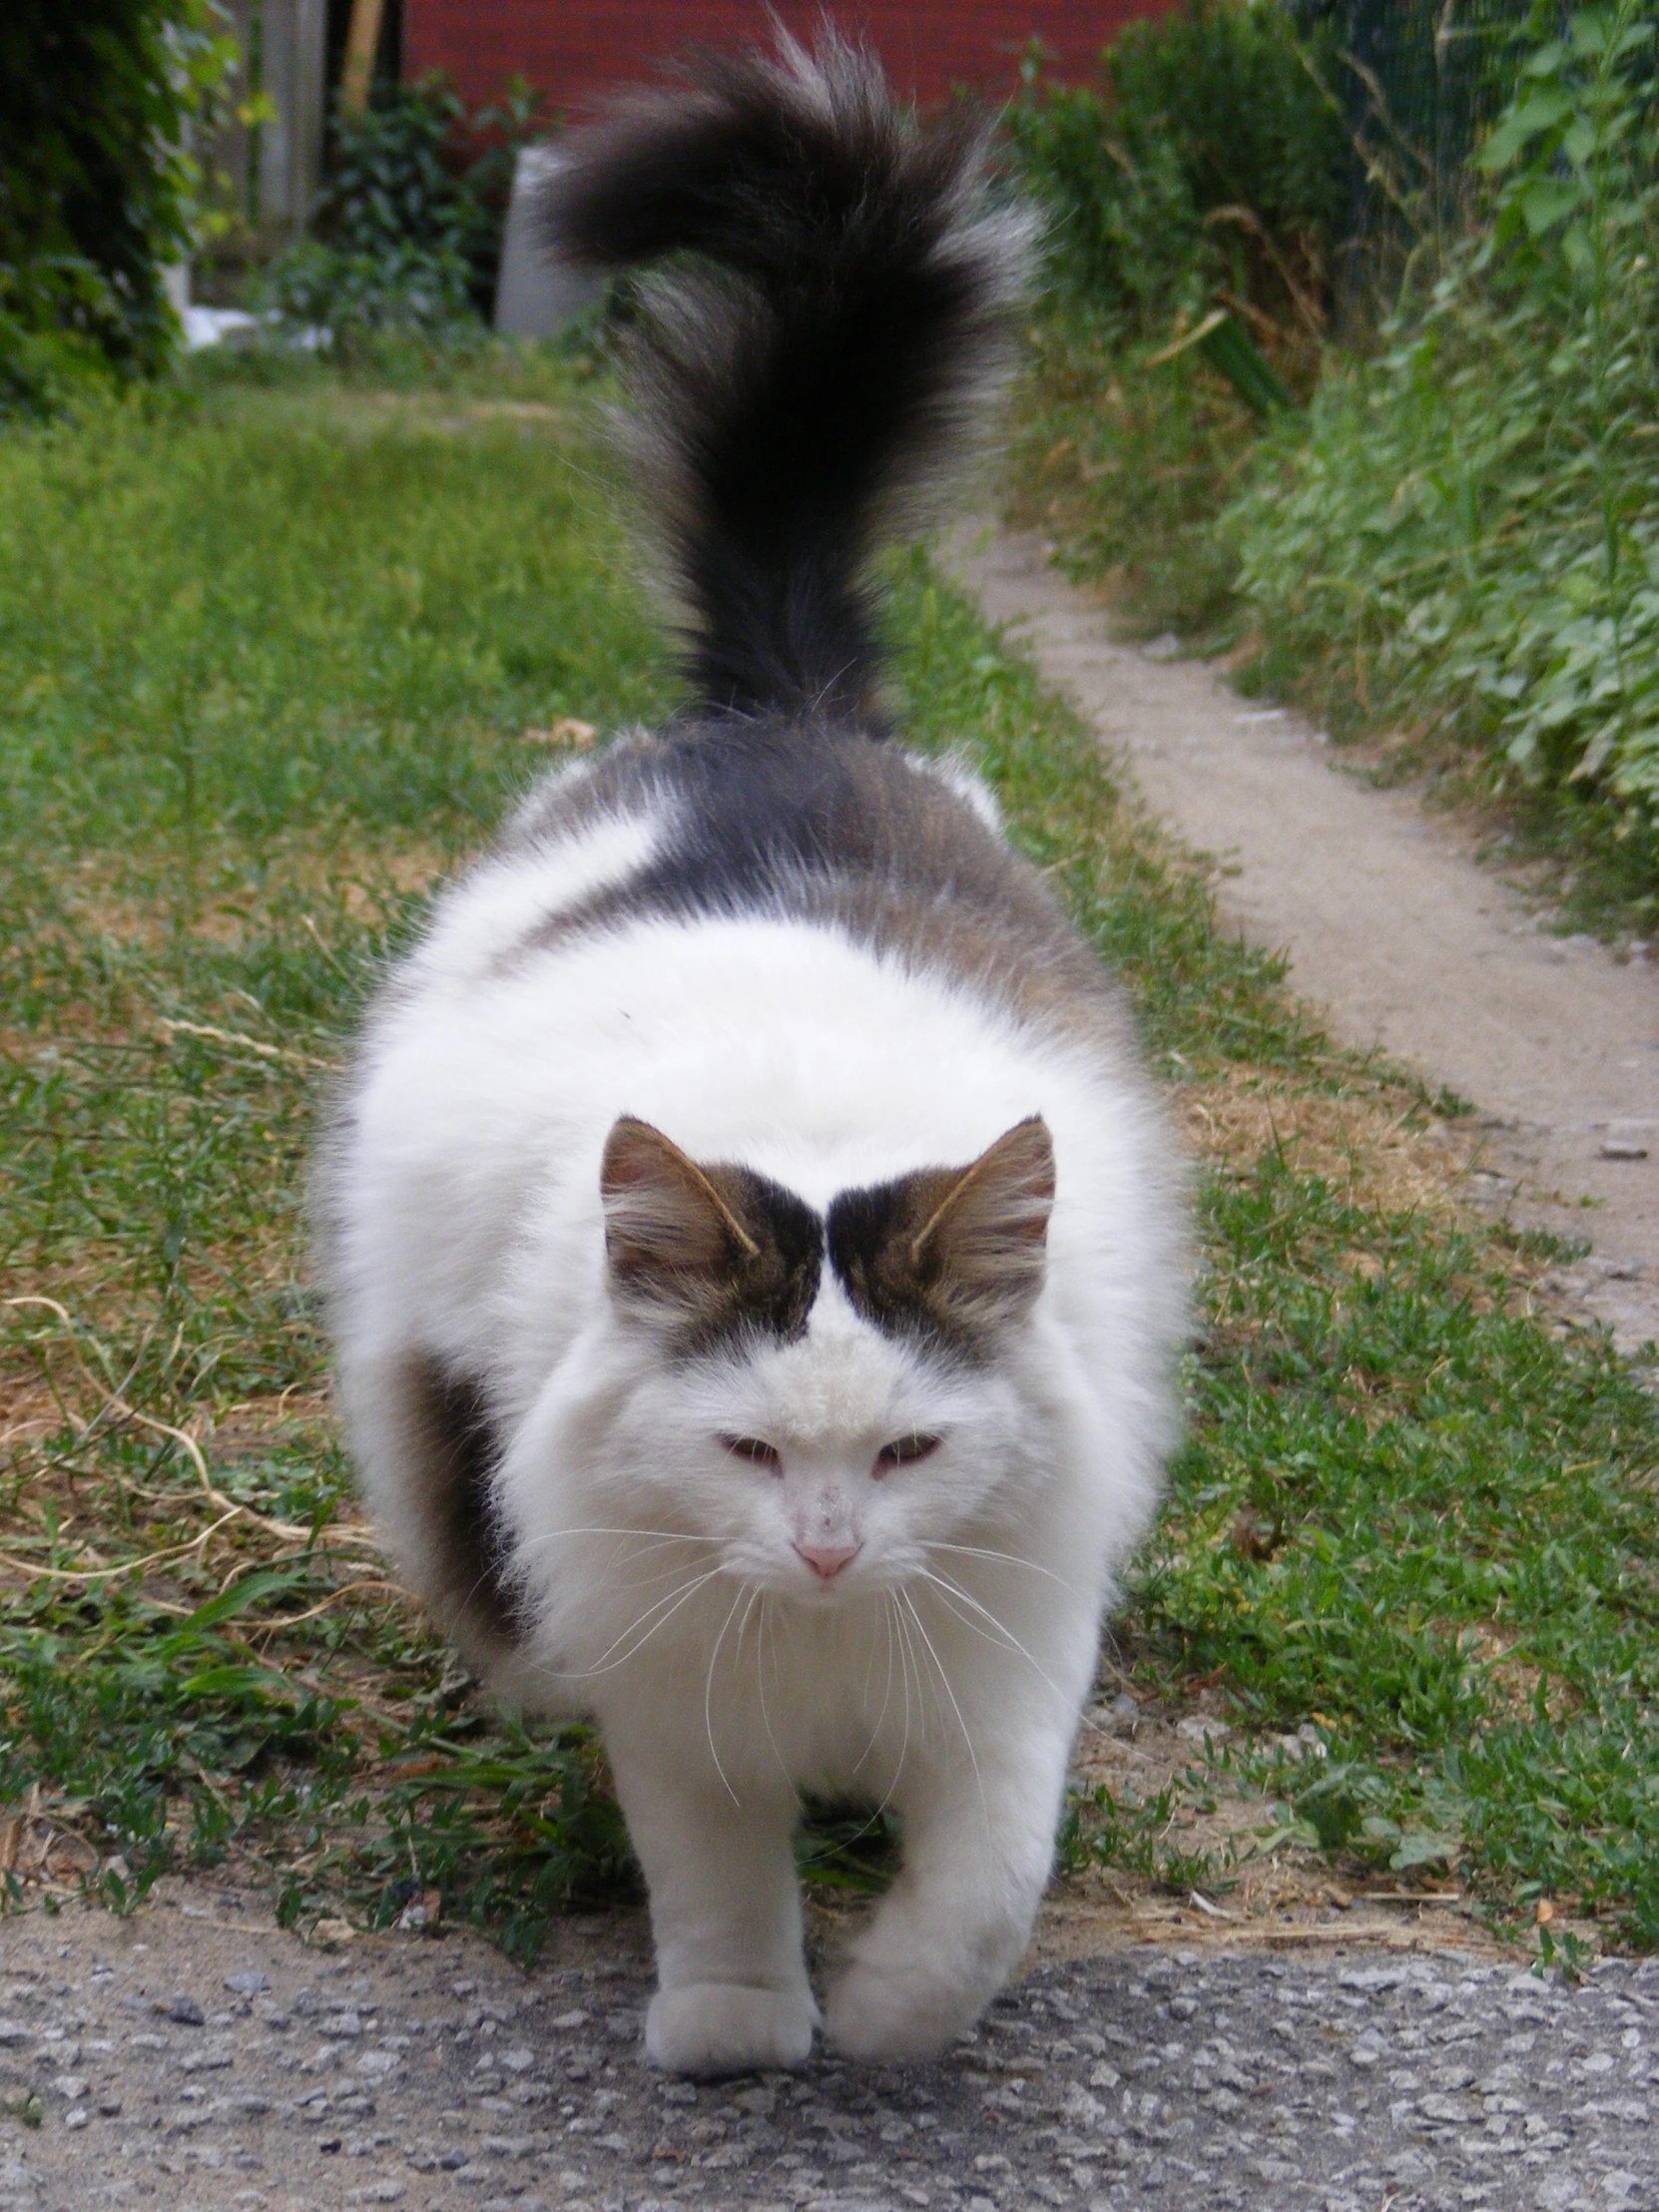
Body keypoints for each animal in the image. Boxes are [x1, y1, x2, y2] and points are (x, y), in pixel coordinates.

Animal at [313, 30, 1185, 2070]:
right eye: (744, 1451)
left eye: (907, 1453)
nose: (827, 1554)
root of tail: (774, 712)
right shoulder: (680, 1692)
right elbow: (712, 1873)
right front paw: (735, 2027)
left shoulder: (1006, 1672)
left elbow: (982, 1892)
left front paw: (886, 2015)